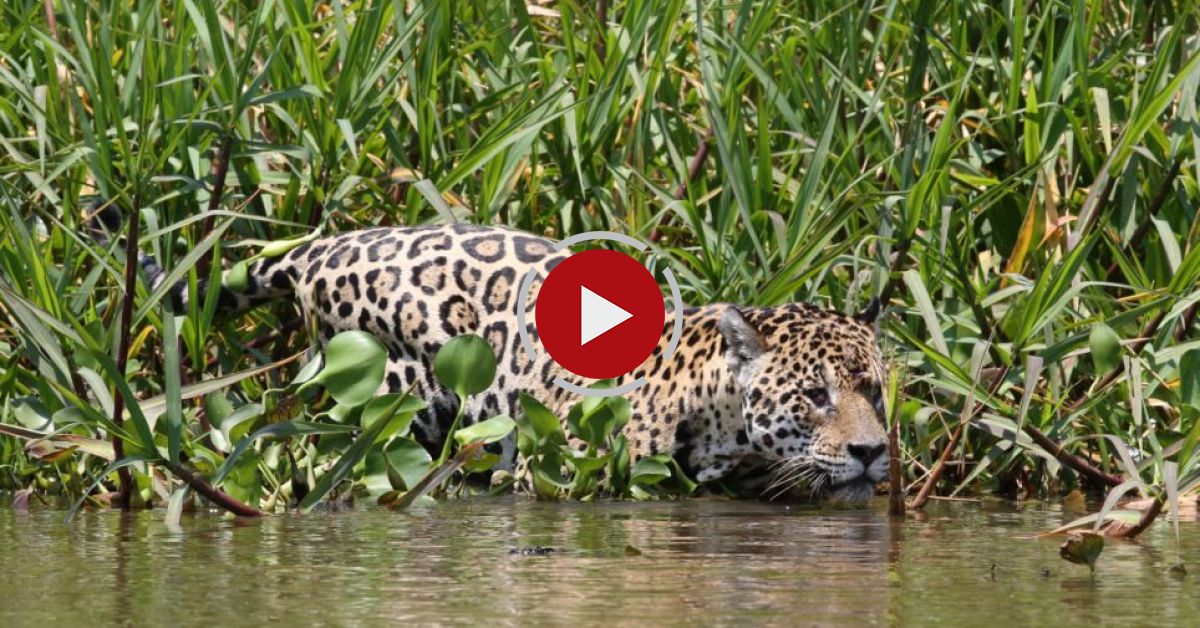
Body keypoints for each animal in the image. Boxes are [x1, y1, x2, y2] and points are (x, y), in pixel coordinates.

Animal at [159, 223, 890, 503]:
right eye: (814, 396)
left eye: (876, 393)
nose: (872, 452)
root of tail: (323, 247)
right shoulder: (564, 474)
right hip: (384, 402)